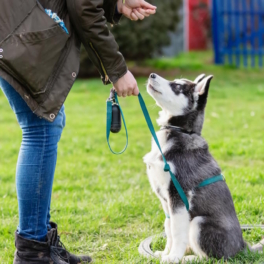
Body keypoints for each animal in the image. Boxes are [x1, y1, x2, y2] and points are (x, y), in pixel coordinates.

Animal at [143, 73, 246, 262]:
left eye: (177, 86)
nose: (152, 75)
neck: (179, 131)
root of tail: (243, 247)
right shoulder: (165, 200)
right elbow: (168, 227)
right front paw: (166, 253)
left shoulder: (178, 195)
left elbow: (177, 231)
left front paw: (173, 257)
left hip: (199, 222)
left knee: (212, 258)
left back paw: (188, 258)